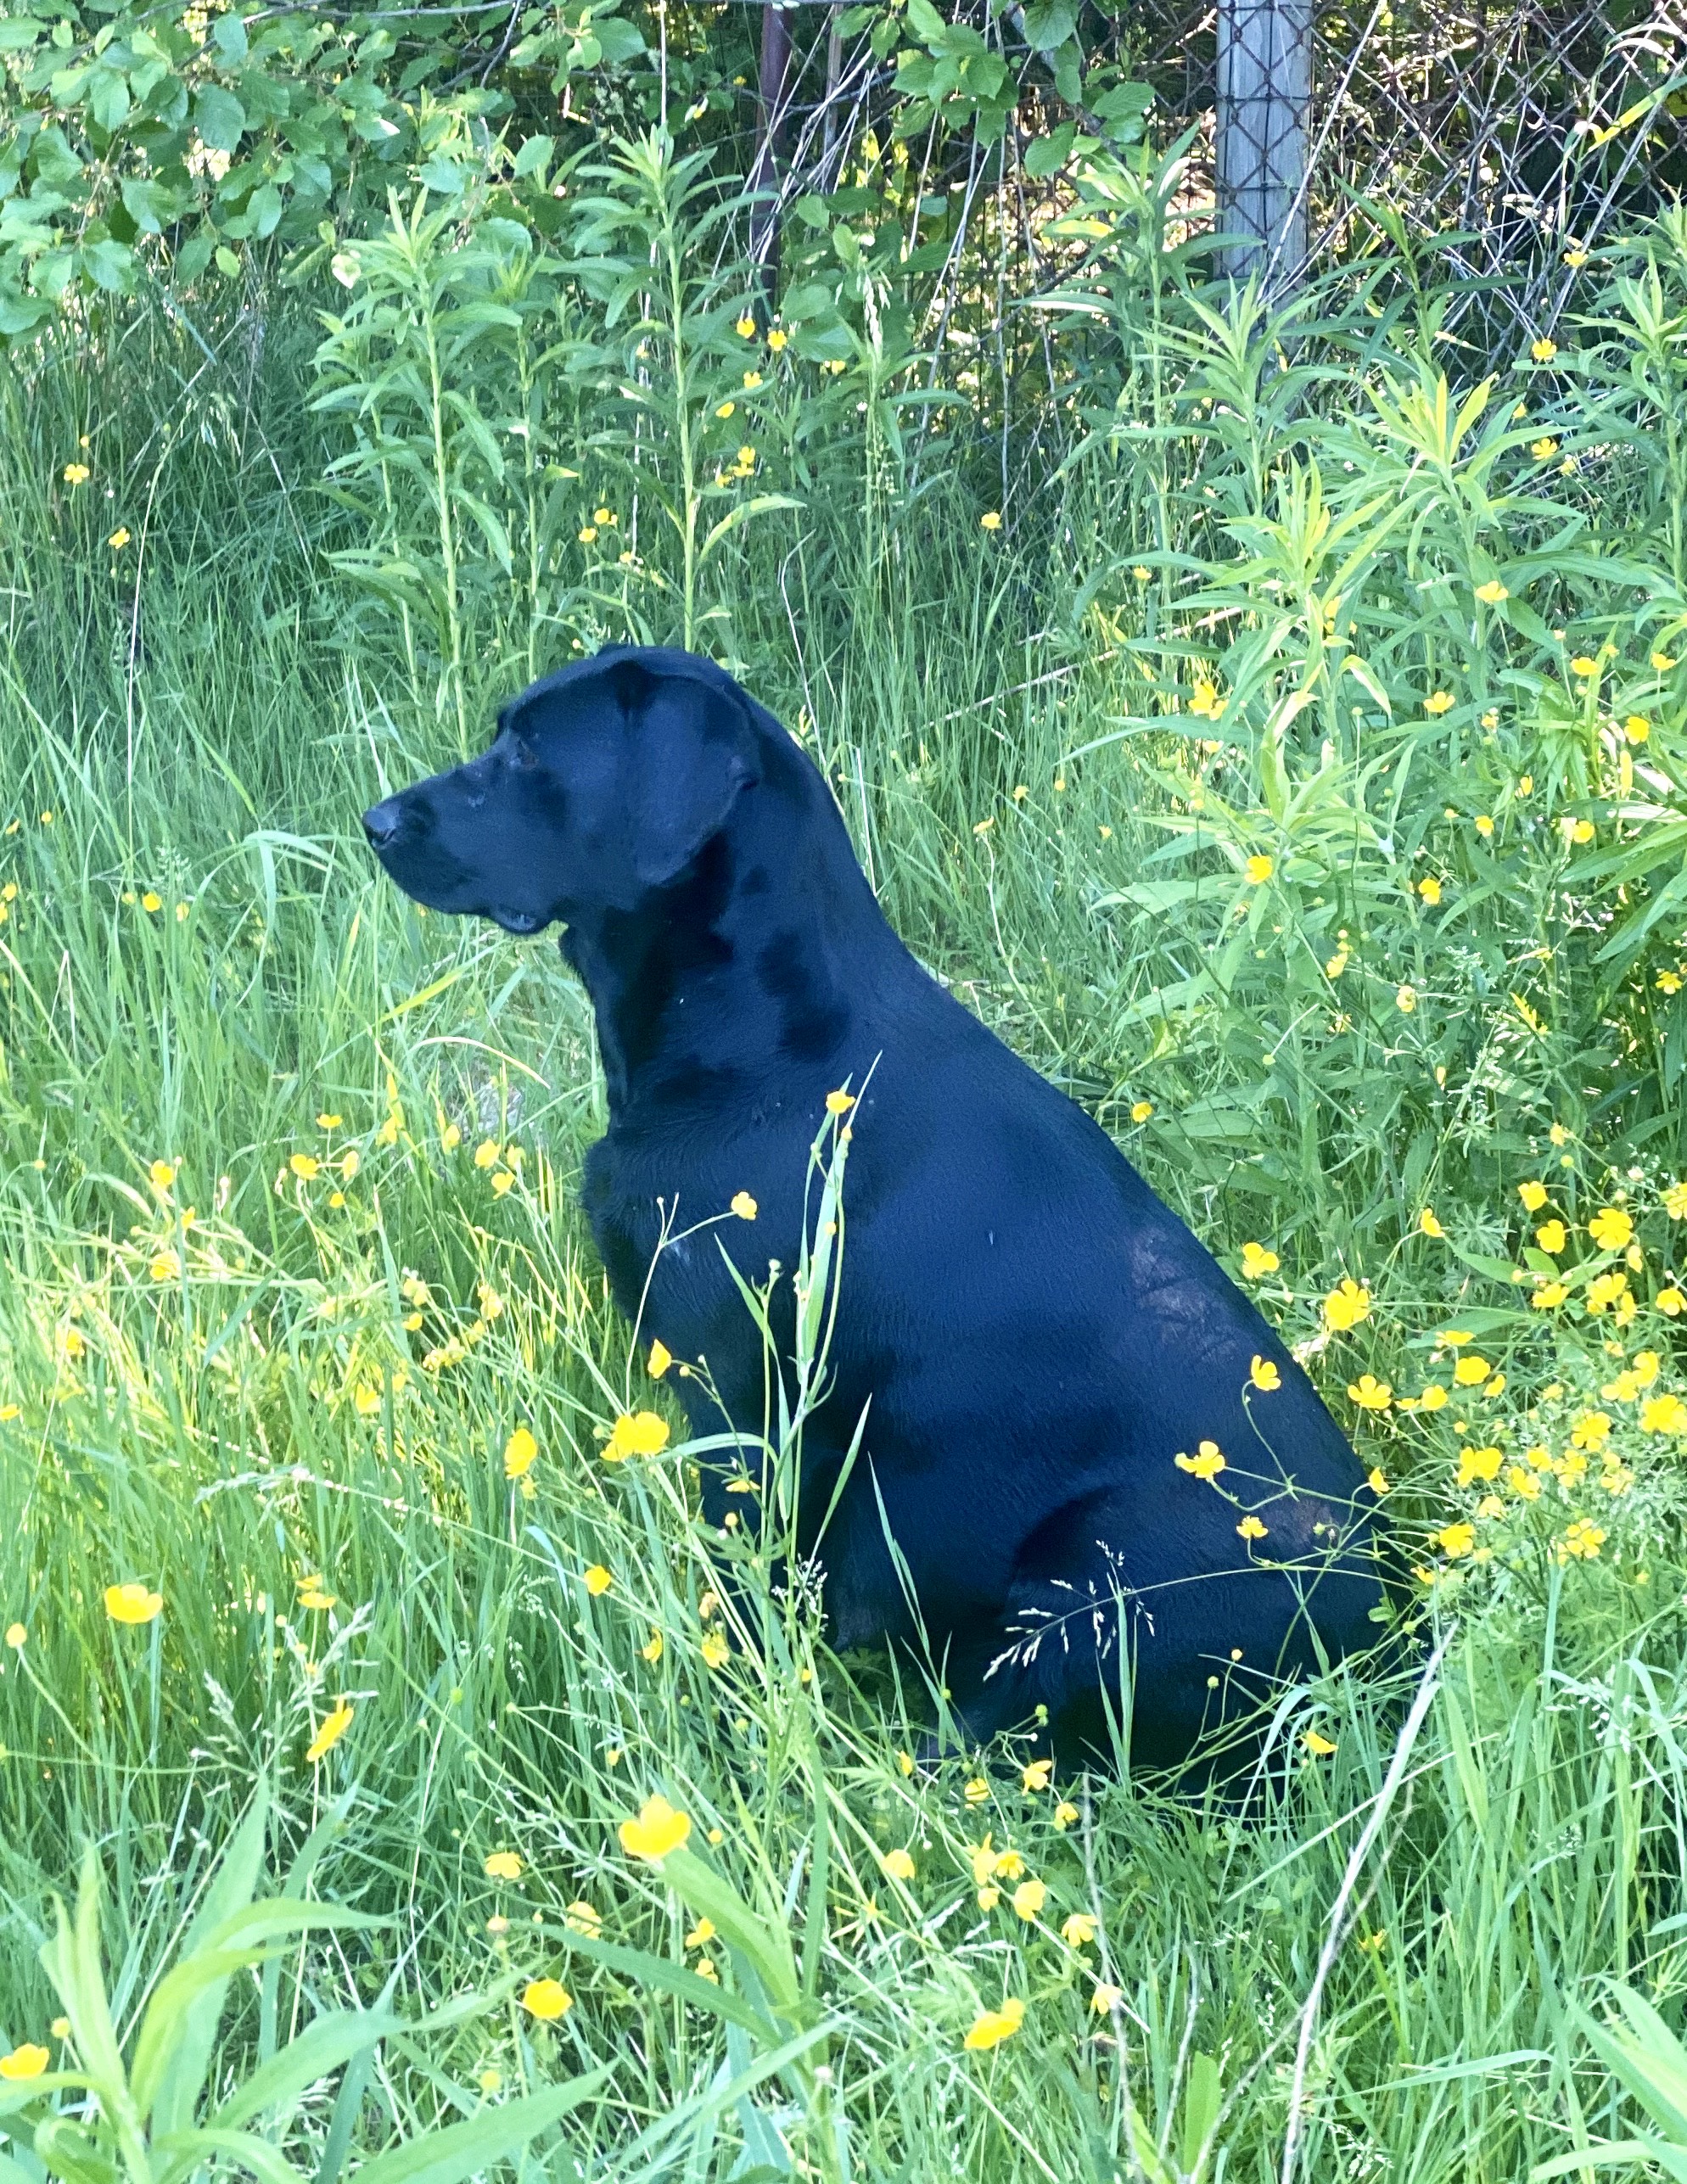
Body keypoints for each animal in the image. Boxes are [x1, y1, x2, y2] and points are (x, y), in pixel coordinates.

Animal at [365, 637, 1381, 1764]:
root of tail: (1387, 1634)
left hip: (1097, 1585)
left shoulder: (743, 1405)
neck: (769, 1050)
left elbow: (739, 1598)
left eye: (534, 754)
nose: (375, 822)